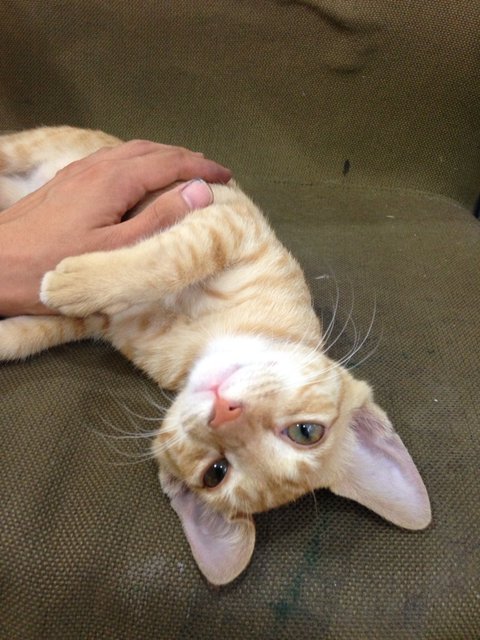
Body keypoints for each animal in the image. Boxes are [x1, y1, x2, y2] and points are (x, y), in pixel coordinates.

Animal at [0, 126, 431, 585]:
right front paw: (74, 280)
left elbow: (34, 331)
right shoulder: (226, 224)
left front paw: (38, 308)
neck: (200, 337)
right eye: (306, 431)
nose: (225, 410)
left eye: (216, 473)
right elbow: (170, 260)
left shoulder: (98, 322)